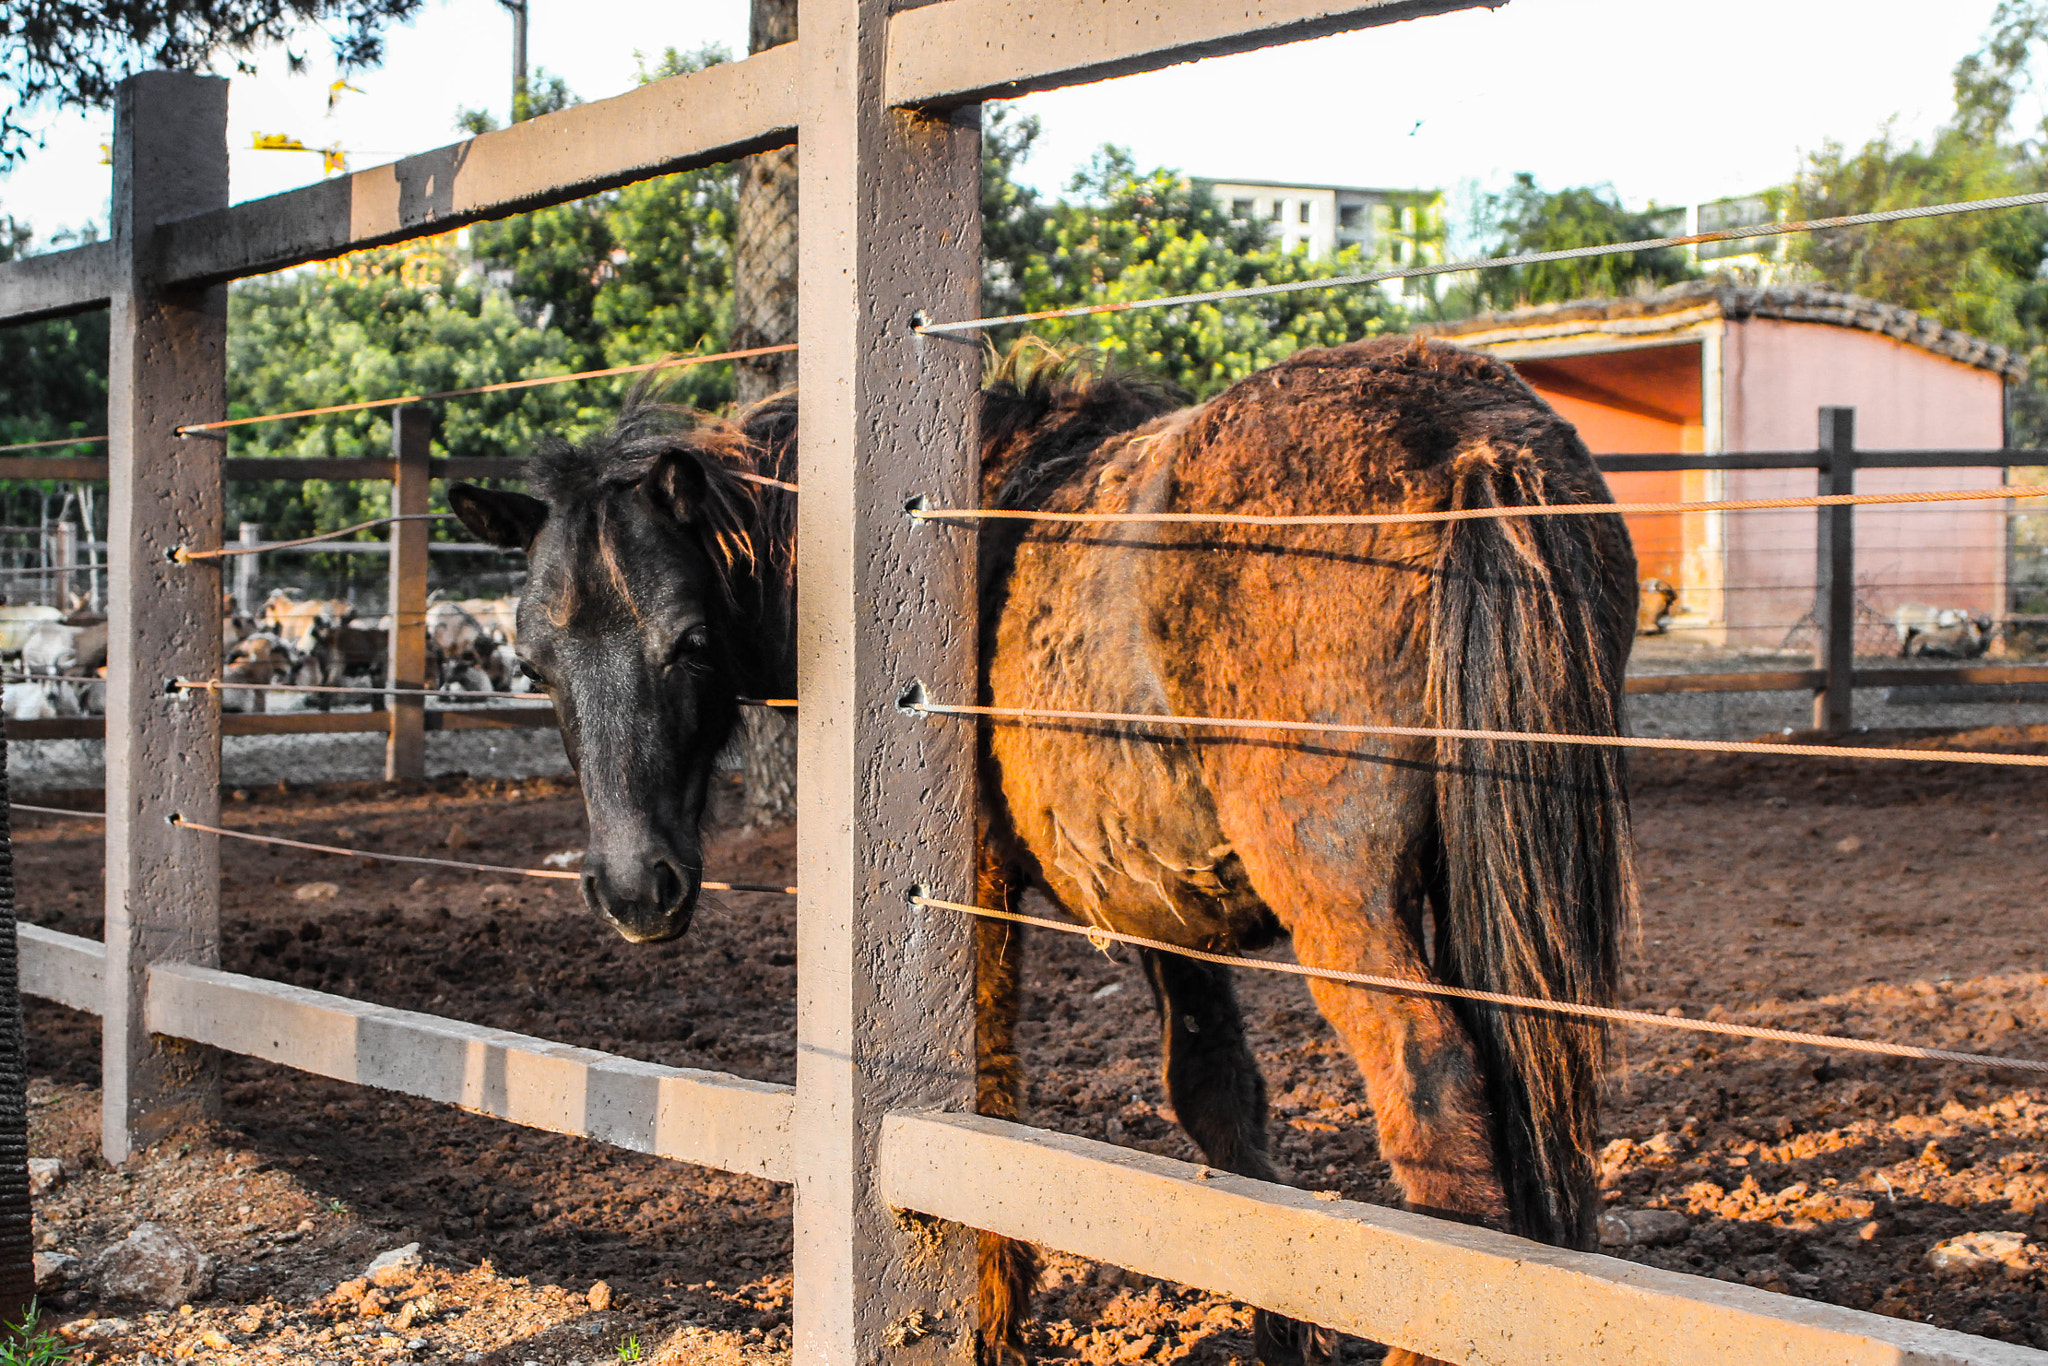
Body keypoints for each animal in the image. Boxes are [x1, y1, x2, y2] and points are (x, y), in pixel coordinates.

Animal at [448, 335, 1638, 1366]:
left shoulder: (977, 892)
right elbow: (1218, 1100)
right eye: (532, 659)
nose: (632, 889)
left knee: (1439, 1115)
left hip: (1349, 911)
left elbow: (983, 1093)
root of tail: (1469, 439)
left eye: (690, 639)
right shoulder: (1163, 902)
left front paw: (990, 1323)